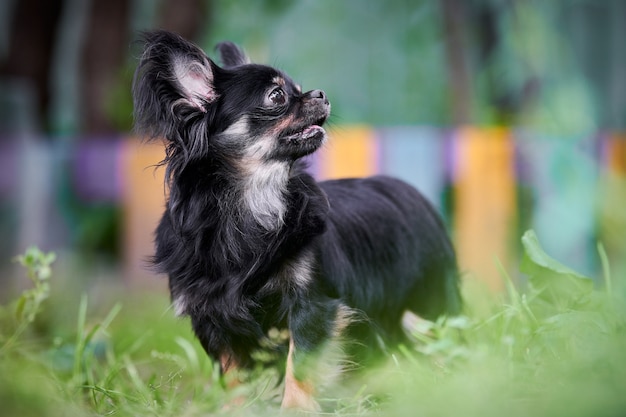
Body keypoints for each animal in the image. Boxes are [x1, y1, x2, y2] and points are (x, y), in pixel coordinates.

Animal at [132, 30, 460, 410]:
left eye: (300, 88)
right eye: (277, 96)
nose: (320, 93)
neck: (252, 203)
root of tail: (408, 189)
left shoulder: (311, 307)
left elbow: (300, 366)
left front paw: (295, 409)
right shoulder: (214, 317)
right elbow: (233, 377)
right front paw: (234, 411)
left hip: (431, 305)